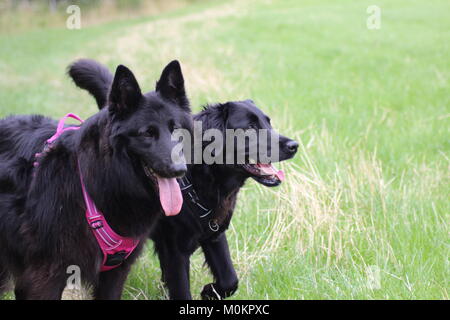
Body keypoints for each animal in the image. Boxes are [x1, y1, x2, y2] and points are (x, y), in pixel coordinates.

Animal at [68, 60, 298, 300]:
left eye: (268, 122)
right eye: (250, 127)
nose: (294, 146)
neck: (200, 182)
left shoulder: (213, 235)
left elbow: (230, 279)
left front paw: (209, 291)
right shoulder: (175, 249)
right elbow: (181, 288)